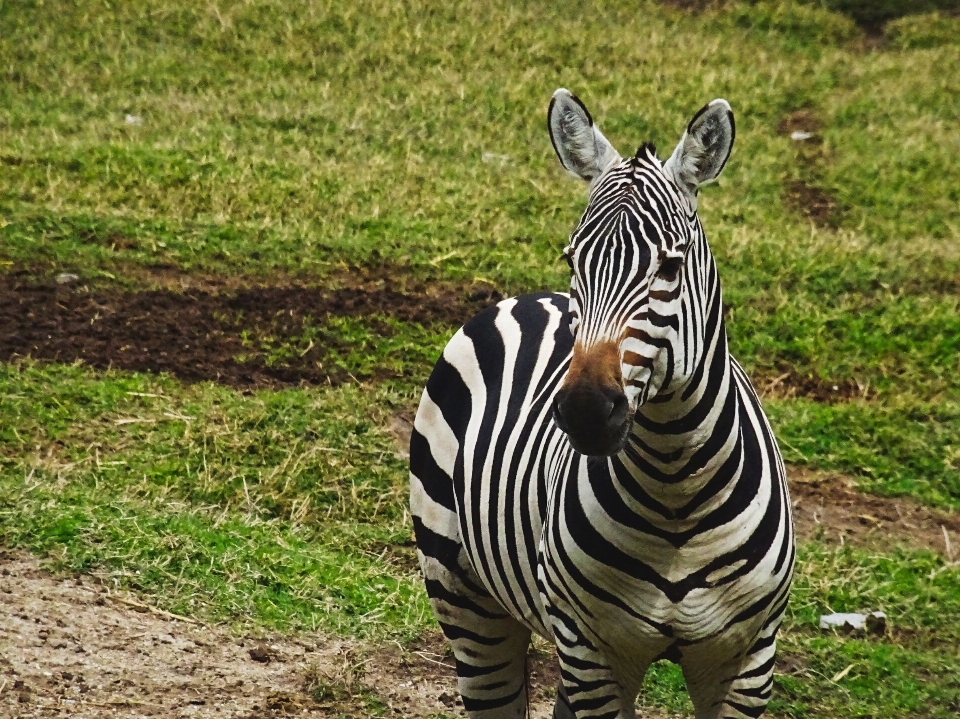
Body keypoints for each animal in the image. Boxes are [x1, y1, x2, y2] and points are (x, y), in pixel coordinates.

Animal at [410, 90, 796, 719]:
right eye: (573, 260)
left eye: (670, 266)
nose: (587, 412)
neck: (675, 492)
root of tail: (527, 298)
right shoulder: (591, 648)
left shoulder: (749, 661)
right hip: (464, 595)